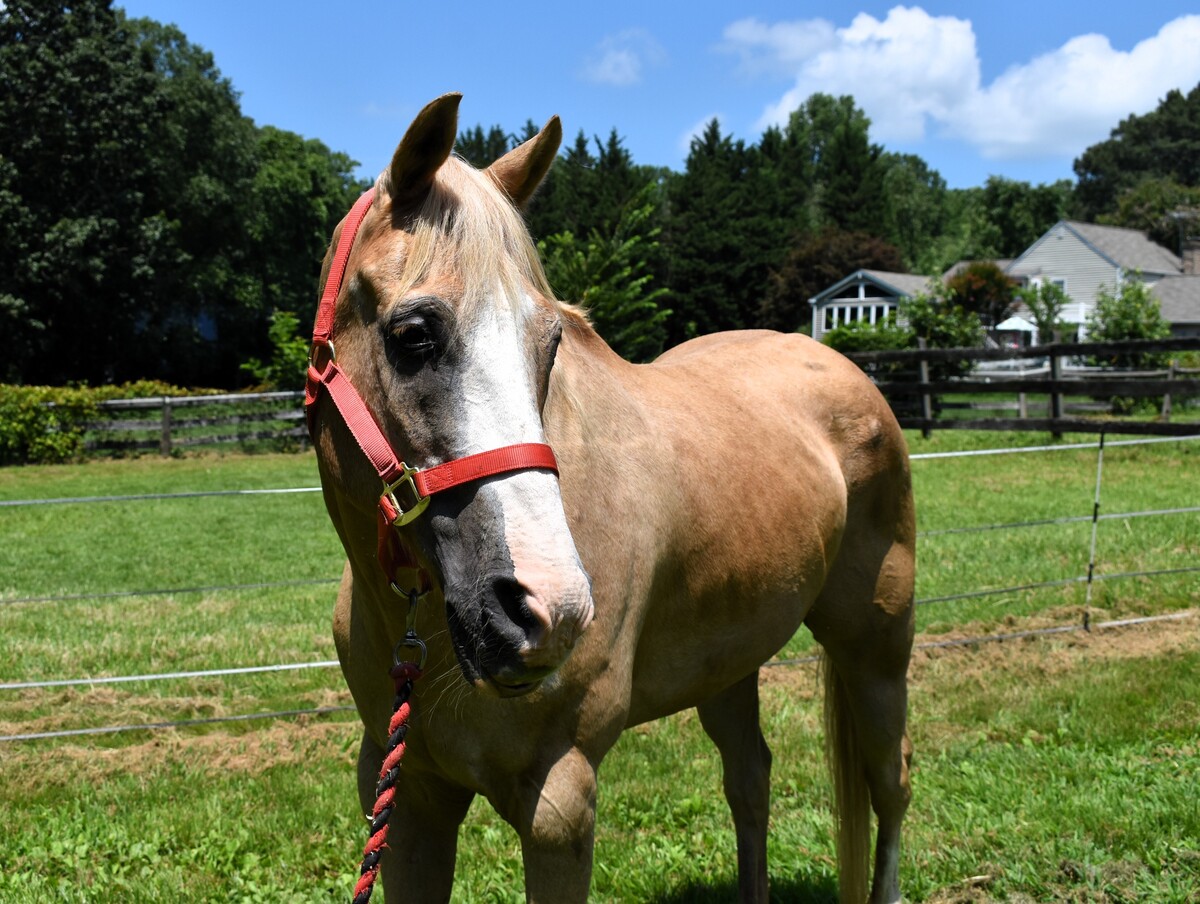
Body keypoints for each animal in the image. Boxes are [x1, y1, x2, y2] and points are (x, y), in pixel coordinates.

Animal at [307, 93, 915, 904]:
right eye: (413, 335)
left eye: (551, 343)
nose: (549, 610)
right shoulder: (409, 797)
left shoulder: (560, 804)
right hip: (729, 661)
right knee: (750, 779)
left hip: (876, 646)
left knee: (890, 782)